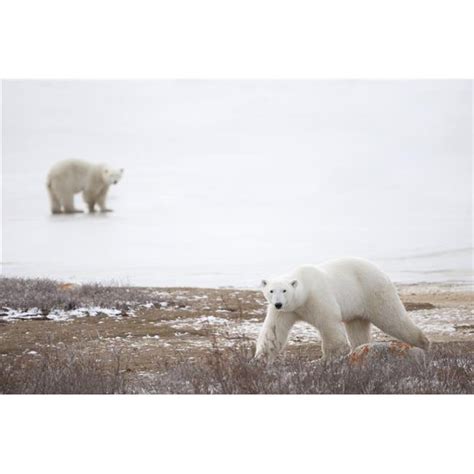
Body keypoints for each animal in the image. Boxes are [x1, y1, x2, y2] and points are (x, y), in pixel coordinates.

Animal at [256, 258, 430, 362]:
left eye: (284, 290)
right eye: (271, 290)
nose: (278, 303)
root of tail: (380, 270)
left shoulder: (318, 297)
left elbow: (329, 323)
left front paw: (328, 357)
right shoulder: (285, 311)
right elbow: (273, 332)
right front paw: (260, 359)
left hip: (373, 291)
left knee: (392, 318)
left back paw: (424, 344)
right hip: (358, 307)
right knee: (358, 329)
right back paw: (358, 350)